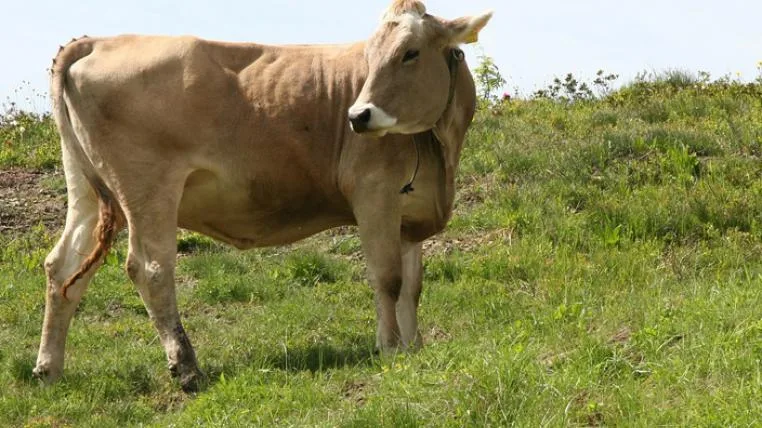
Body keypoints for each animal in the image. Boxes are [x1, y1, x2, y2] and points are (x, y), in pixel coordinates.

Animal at [34, 0, 492, 391]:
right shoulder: (374, 195)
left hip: (86, 188)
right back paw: (187, 368)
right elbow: (388, 277)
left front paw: (415, 347)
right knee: (151, 269)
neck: (440, 153)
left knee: (63, 266)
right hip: (147, 188)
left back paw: (48, 369)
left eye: (410, 53)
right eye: (370, 57)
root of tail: (97, 40)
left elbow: (413, 284)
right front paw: (391, 348)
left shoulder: (411, 211)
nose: (358, 116)